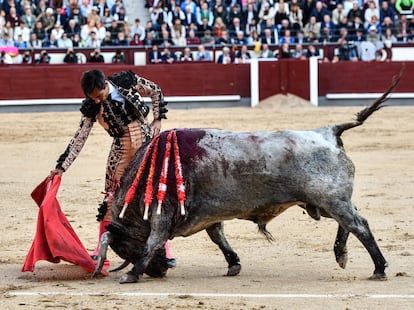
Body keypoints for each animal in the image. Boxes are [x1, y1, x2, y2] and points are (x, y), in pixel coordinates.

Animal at [93, 72, 402, 284]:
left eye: (124, 249)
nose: (160, 272)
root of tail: (329, 130)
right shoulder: (207, 215)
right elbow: (218, 238)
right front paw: (233, 265)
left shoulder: (161, 216)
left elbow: (152, 243)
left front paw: (132, 274)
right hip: (325, 203)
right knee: (350, 222)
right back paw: (341, 255)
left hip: (330, 199)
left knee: (359, 225)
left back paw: (378, 268)